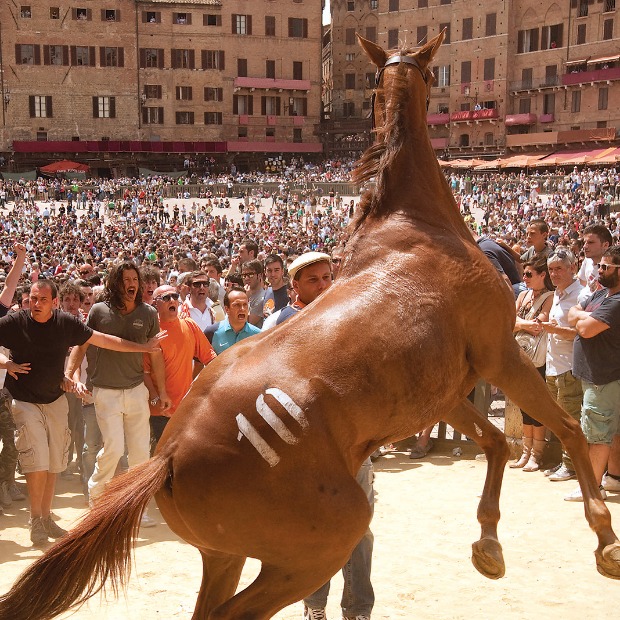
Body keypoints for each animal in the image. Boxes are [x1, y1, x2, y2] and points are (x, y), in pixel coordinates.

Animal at [1, 32, 620, 620]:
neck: (414, 223)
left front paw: (489, 544)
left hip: (226, 555)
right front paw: (603, 538)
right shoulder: (499, 353)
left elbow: (494, 441)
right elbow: (567, 426)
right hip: (318, 547)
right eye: (430, 73)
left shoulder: (447, 392)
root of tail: (166, 457)